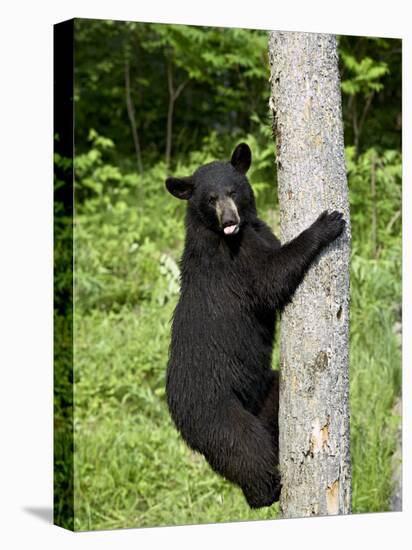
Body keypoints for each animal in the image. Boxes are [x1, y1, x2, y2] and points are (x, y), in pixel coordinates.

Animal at [164, 142, 344, 508]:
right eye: (210, 199)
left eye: (233, 191)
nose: (230, 221)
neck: (221, 235)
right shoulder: (234, 261)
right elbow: (271, 276)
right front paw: (328, 223)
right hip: (216, 411)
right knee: (244, 447)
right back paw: (266, 491)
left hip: (262, 391)